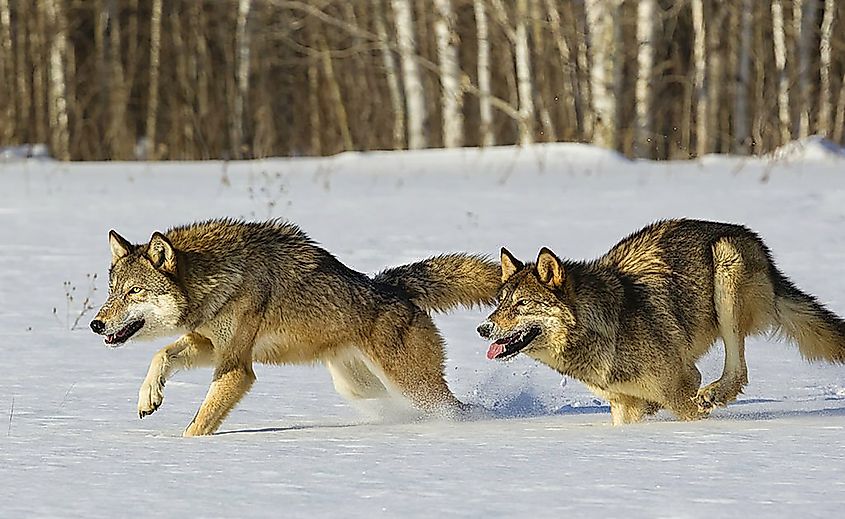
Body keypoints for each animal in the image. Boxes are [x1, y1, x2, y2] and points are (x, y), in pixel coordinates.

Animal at [90, 218, 499, 436]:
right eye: (112, 292)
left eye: (134, 292)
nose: (96, 324)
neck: (219, 279)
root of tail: (392, 286)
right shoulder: (210, 345)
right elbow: (161, 355)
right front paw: (149, 398)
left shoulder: (237, 367)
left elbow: (200, 422)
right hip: (360, 387)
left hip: (412, 385)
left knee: (454, 407)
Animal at [477, 218, 845, 425]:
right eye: (500, 303)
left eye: (522, 304)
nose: (483, 329)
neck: (603, 329)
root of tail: (751, 238)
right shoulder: (624, 406)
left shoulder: (682, 384)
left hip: (726, 271)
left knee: (739, 370)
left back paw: (715, 393)